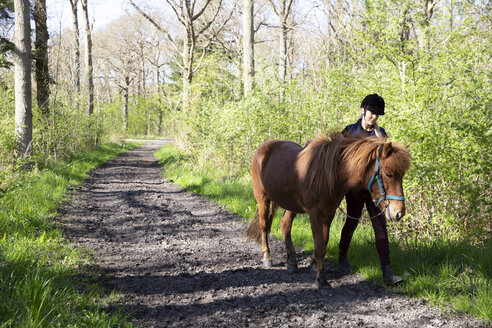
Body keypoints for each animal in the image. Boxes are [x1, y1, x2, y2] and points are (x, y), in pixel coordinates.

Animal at [246, 132, 412, 294]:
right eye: (389, 174)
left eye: (402, 174)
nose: (399, 212)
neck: (327, 176)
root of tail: (265, 146)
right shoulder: (315, 215)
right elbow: (319, 247)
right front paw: (323, 282)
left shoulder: (328, 214)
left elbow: (324, 243)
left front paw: (318, 271)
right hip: (263, 199)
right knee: (264, 226)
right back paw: (267, 257)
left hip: (291, 204)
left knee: (285, 224)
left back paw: (292, 261)